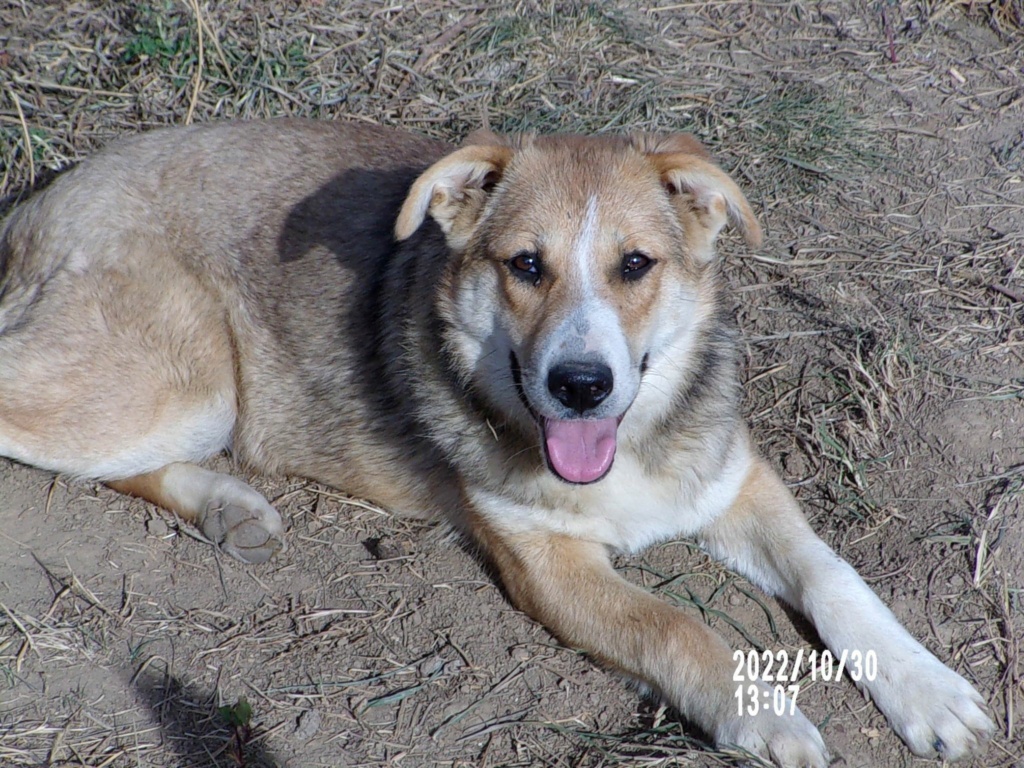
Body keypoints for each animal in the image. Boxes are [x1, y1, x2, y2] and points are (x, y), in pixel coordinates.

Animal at [0, 121, 991, 768]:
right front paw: (763, 713)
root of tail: (40, 201)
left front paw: (928, 689)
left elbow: (834, 575)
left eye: (637, 265)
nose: (581, 384)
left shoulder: (730, 477)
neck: (620, 455)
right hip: (185, 380)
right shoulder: (547, 563)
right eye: (525, 265)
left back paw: (228, 505)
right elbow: (676, 624)